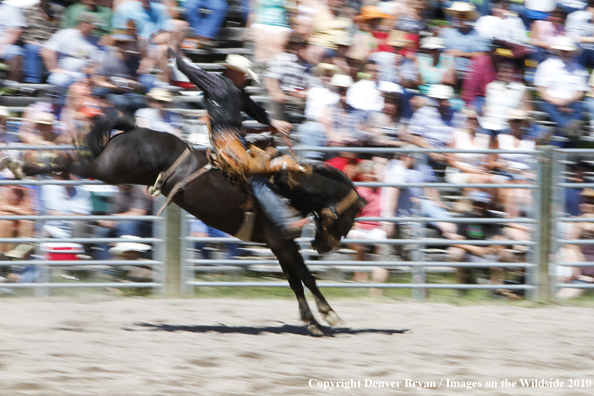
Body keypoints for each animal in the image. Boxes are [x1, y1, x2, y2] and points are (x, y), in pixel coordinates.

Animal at [13, 116, 364, 336]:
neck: (288, 187)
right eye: (351, 219)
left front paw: (312, 322)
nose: (324, 246)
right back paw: (20, 164)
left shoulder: (278, 244)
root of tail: (135, 129)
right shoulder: (283, 241)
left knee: (74, 162)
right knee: (74, 162)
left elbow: (295, 282)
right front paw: (329, 315)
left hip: (112, 169)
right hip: (110, 170)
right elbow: (306, 277)